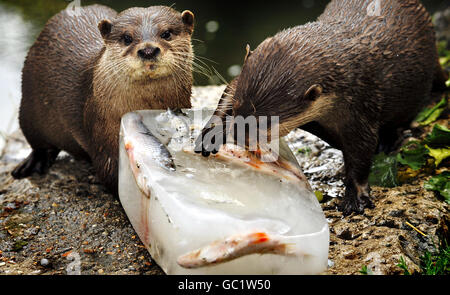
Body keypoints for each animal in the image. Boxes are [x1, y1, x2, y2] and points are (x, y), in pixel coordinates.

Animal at [11, 4, 194, 195]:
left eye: (166, 33)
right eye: (127, 38)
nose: (148, 50)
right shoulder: (104, 137)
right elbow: (110, 173)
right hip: (29, 110)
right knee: (37, 142)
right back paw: (32, 164)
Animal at [195, 0, 448, 215]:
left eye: (267, 121)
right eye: (238, 109)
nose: (237, 136)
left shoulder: (361, 105)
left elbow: (362, 151)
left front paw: (355, 196)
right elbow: (229, 91)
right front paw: (212, 132)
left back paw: (390, 140)